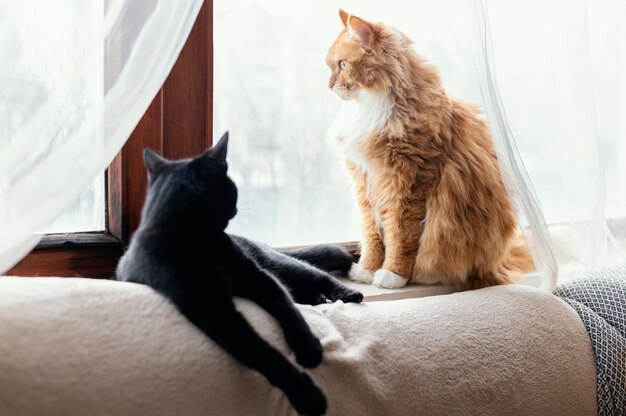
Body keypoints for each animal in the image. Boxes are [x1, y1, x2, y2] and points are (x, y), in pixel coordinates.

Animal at [116, 134, 360, 416]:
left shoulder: (259, 278)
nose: (236, 208)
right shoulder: (214, 311)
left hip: (281, 265)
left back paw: (347, 293)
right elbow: (262, 351)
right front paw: (309, 396)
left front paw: (308, 347)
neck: (202, 242)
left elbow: (288, 310)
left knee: (318, 276)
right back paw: (317, 299)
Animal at [326, 10, 532, 290]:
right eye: (332, 66)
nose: (328, 85)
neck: (372, 106)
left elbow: (400, 236)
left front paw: (392, 274)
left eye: (343, 65)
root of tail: (500, 262)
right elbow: (372, 236)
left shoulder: (407, 185)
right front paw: (367, 270)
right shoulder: (365, 184)